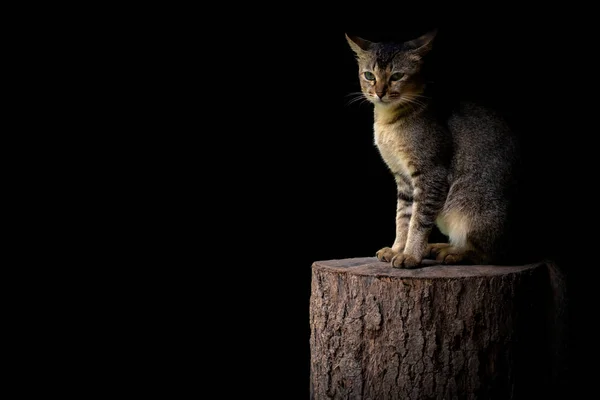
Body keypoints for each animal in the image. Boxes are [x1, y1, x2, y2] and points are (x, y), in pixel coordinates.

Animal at [344, 30, 524, 268]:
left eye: (397, 76)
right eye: (369, 76)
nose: (380, 92)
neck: (387, 121)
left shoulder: (431, 174)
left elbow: (418, 221)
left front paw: (410, 255)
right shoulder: (403, 178)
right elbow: (402, 218)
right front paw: (397, 249)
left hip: (472, 208)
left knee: (491, 255)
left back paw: (454, 253)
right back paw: (440, 247)